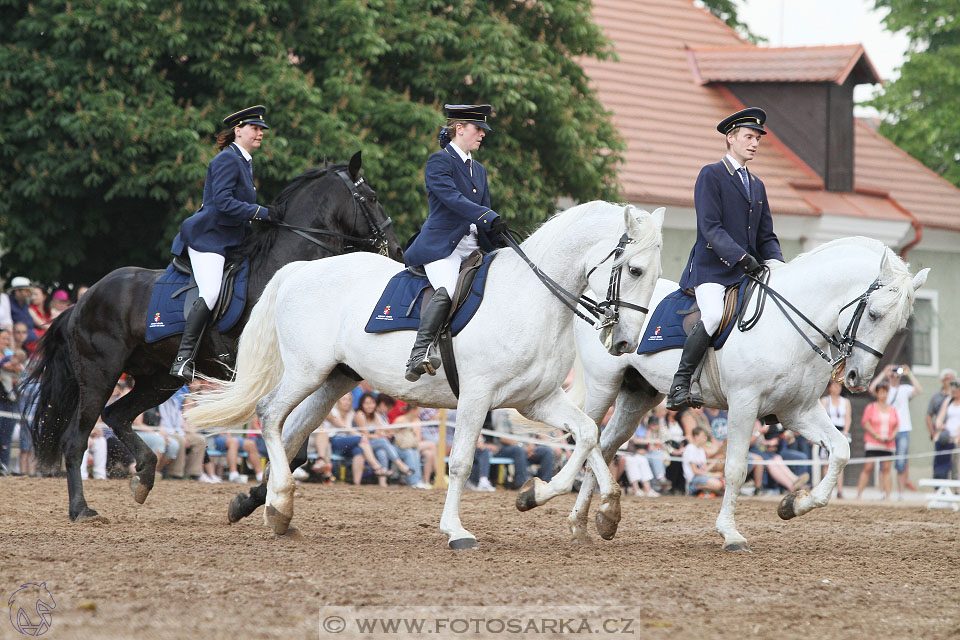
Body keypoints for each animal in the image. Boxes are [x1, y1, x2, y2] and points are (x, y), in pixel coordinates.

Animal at [26, 152, 402, 524]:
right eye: (371, 198)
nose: (397, 249)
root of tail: (83, 300)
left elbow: (294, 449)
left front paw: (254, 499)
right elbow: (290, 446)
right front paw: (258, 500)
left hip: (159, 380)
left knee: (117, 415)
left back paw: (144, 476)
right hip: (100, 374)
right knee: (76, 439)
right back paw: (81, 509)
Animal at [189, 202, 668, 548]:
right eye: (635, 270)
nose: (626, 343)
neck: (531, 299)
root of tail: (302, 269)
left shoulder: (536, 400)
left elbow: (588, 436)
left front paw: (561, 501)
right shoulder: (477, 397)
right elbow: (461, 463)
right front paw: (457, 531)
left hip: (335, 379)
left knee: (291, 435)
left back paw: (274, 510)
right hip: (307, 371)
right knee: (270, 414)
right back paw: (279, 504)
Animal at [568, 238, 928, 552]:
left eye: (900, 327)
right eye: (874, 314)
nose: (857, 378)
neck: (789, 327)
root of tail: (601, 301)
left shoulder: (798, 411)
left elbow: (840, 450)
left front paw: (792, 504)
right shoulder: (744, 404)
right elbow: (736, 468)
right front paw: (731, 534)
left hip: (637, 395)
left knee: (606, 444)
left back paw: (597, 519)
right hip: (603, 386)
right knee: (590, 437)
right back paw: (581, 520)